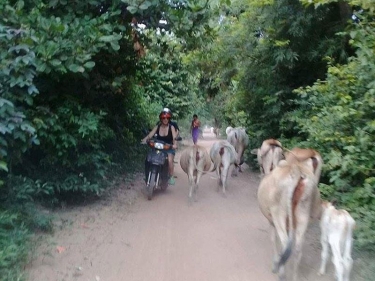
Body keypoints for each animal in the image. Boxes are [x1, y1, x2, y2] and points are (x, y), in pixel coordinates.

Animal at [258, 148, 324, 278]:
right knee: (297, 247)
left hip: (279, 214)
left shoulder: (271, 221)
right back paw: (294, 276)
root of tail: (297, 171)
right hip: (303, 213)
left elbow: (273, 240)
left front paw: (275, 265)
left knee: (284, 243)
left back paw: (281, 273)